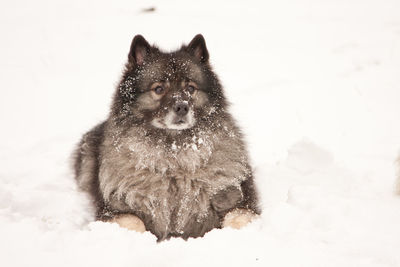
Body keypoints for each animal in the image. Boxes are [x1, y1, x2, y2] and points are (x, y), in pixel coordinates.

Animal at [72, 34, 260, 242]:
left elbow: (238, 220)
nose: (182, 107)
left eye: (191, 88)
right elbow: (134, 222)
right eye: (159, 89)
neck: (174, 161)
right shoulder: (114, 209)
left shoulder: (239, 201)